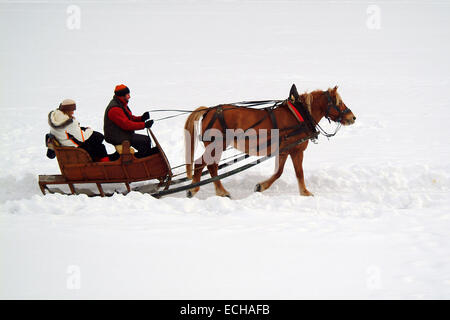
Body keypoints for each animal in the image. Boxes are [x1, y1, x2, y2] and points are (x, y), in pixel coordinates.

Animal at [183, 84, 356, 198]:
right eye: (339, 103)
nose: (352, 117)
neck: (299, 115)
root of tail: (209, 111)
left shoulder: (284, 151)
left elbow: (278, 172)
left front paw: (261, 186)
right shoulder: (296, 151)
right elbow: (299, 172)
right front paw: (305, 192)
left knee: (207, 166)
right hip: (217, 145)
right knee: (205, 165)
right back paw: (211, 191)